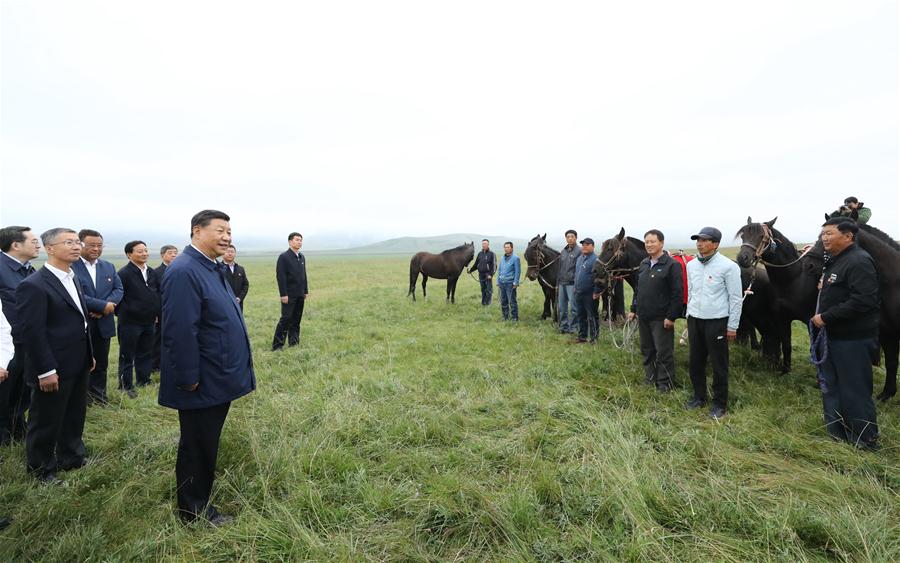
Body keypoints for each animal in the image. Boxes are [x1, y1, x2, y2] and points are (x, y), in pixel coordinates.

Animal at [736, 217, 820, 374]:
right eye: (743, 236)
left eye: (761, 236)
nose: (742, 258)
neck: (793, 280)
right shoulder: (782, 319)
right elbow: (786, 344)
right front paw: (785, 370)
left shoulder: (810, 320)